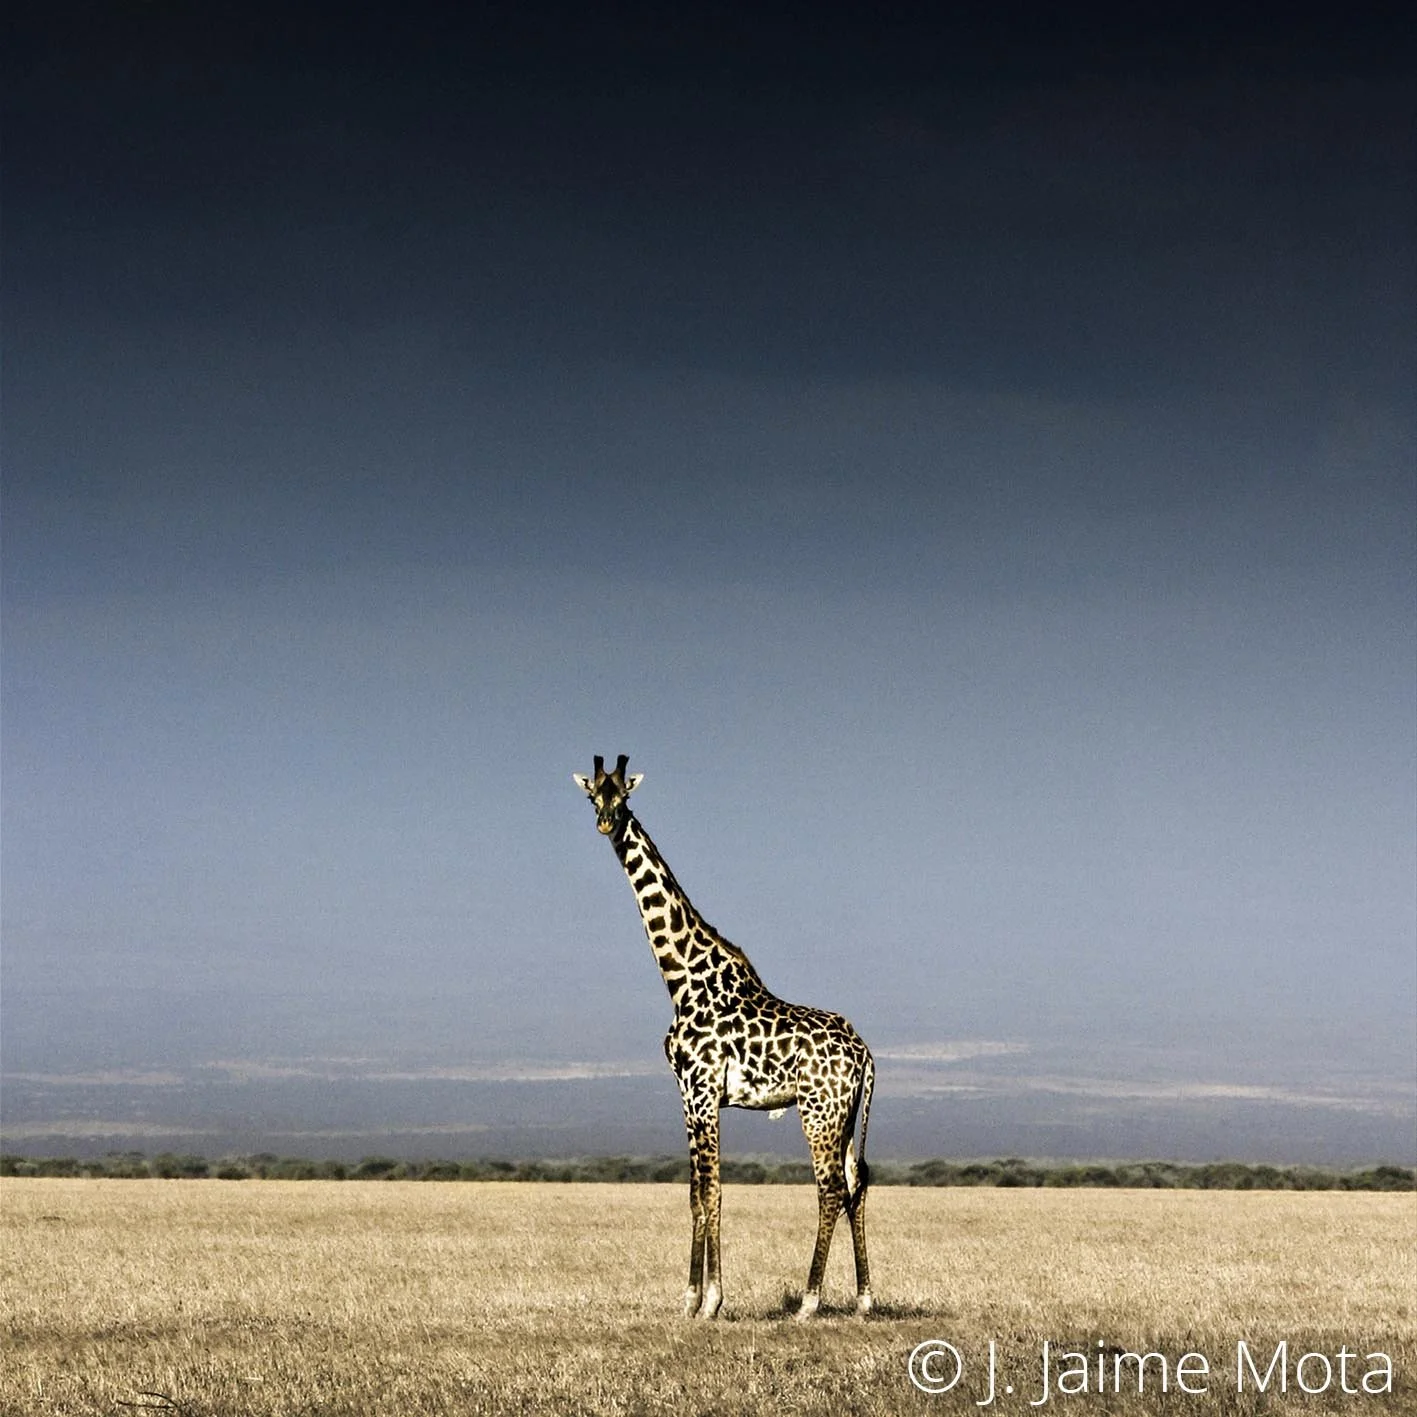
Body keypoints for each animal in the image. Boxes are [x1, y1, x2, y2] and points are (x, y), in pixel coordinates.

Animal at [573, 754, 875, 1321]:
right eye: (592, 795)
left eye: (625, 795)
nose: (605, 823)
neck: (681, 976)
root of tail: (867, 1055)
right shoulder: (690, 1095)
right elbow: (696, 1193)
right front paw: (692, 1298)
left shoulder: (702, 1090)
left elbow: (710, 1191)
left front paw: (708, 1300)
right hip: (848, 1117)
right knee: (856, 1182)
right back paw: (866, 1298)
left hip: (819, 1111)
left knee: (828, 1189)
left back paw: (809, 1302)